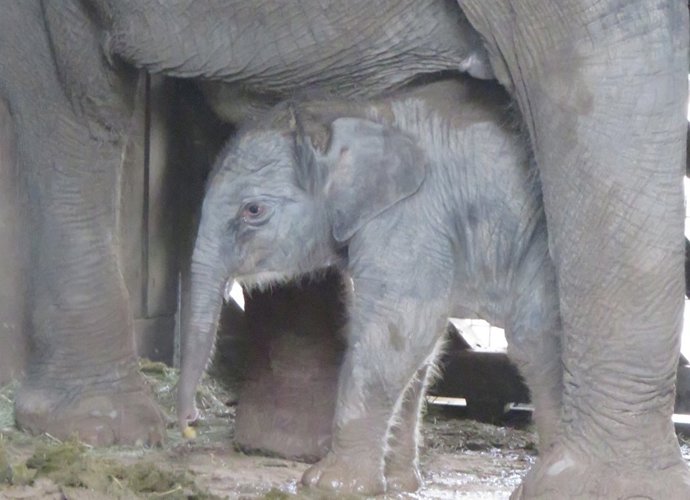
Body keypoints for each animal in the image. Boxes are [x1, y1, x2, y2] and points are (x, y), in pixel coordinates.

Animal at [181, 76, 564, 493]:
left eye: (253, 211)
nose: (190, 419)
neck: (359, 111)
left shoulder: (413, 216)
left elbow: (398, 330)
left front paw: (327, 484)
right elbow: (420, 349)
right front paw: (397, 484)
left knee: (533, 339)